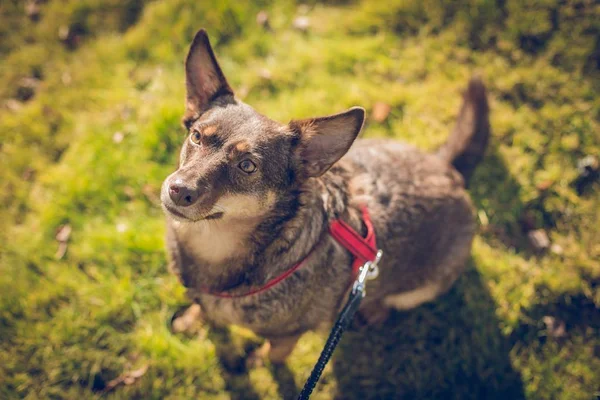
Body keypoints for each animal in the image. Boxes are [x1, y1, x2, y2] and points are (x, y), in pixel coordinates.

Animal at [162, 29, 490, 364]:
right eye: (196, 137)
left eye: (247, 165)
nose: (178, 190)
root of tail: (447, 167)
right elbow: (202, 309)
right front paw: (190, 320)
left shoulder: (287, 337)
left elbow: (272, 356)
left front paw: (256, 364)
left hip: (419, 289)